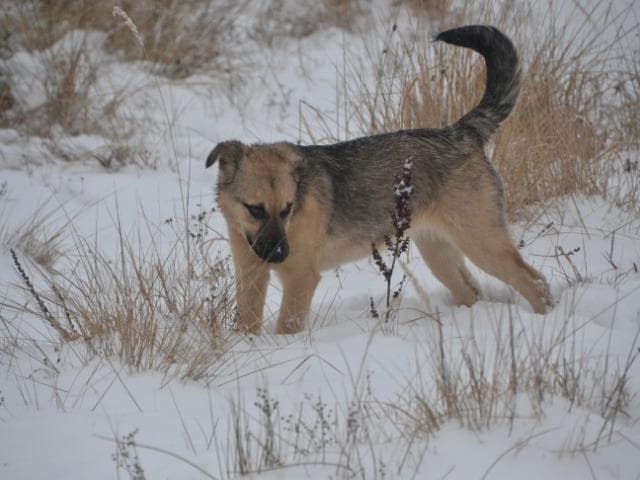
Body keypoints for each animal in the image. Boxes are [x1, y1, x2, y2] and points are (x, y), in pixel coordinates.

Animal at [208, 25, 552, 334]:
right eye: (254, 209)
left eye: (288, 208)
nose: (279, 254)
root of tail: (461, 133)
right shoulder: (251, 275)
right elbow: (248, 325)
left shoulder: (300, 277)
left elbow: (285, 328)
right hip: (438, 251)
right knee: (472, 292)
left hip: (481, 241)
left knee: (535, 282)